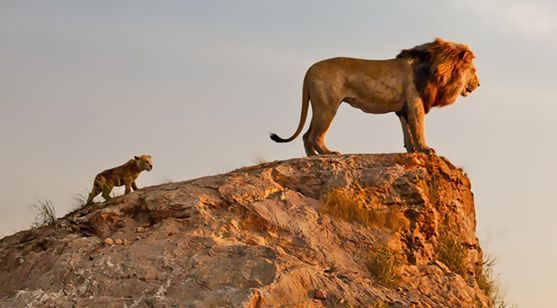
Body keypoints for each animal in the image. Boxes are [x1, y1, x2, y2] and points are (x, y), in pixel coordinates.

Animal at [270, 37, 478, 155]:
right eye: (474, 70)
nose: (478, 84)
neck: (433, 69)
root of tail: (309, 70)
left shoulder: (404, 109)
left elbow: (407, 132)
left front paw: (411, 151)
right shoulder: (415, 103)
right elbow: (418, 130)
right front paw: (426, 149)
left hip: (318, 105)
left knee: (306, 136)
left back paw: (313, 157)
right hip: (328, 106)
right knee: (315, 136)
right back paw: (329, 153)